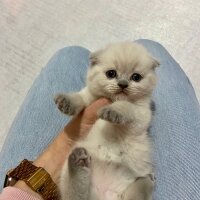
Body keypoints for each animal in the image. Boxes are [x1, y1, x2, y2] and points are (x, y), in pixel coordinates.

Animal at [54, 41, 159, 200]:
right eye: (111, 74)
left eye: (136, 77)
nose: (123, 84)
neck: (112, 100)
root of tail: (104, 195)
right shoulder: (90, 97)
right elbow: (79, 98)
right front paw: (66, 102)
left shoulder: (140, 114)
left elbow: (125, 106)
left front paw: (112, 112)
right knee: (76, 193)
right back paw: (78, 161)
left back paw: (148, 179)